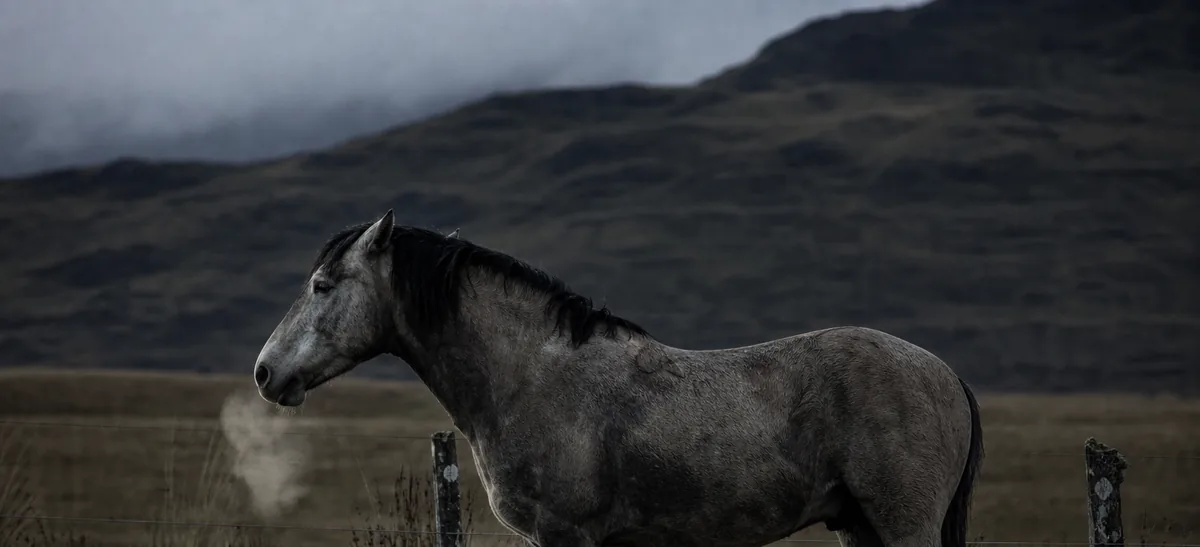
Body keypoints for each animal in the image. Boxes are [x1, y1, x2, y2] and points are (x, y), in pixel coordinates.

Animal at [251, 210, 984, 547]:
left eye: (322, 285)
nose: (264, 371)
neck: (531, 378)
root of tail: (947, 374)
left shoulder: (567, 537)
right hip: (859, 526)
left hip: (903, 526)